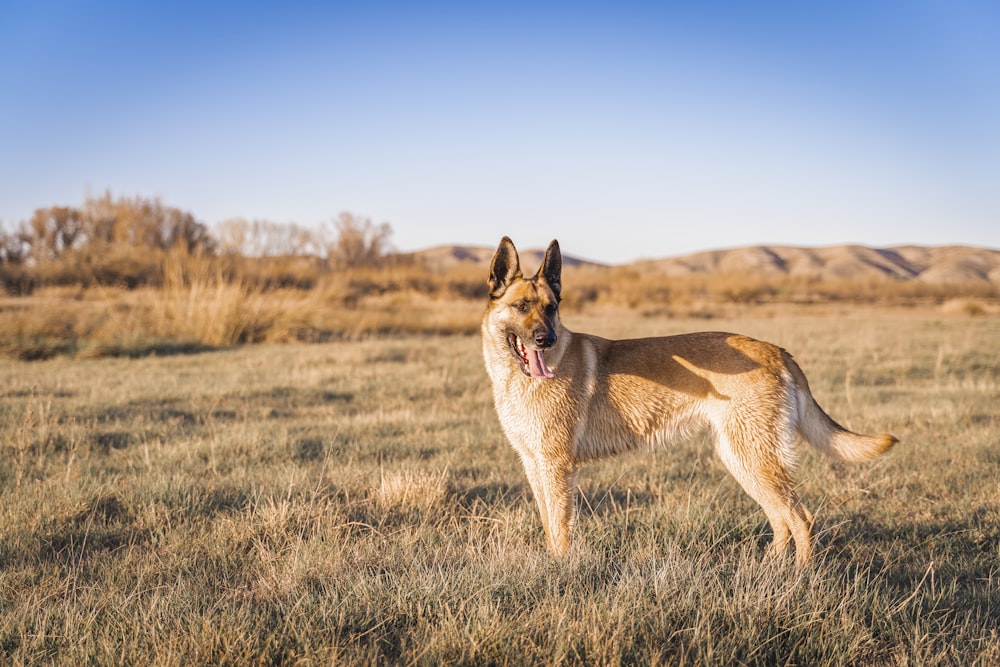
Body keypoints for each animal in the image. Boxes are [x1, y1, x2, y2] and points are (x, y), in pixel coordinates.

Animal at [480, 237, 896, 568]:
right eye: (522, 307)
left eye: (551, 307)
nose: (545, 340)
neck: (517, 377)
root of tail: (776, 350)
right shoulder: (535, 465)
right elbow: (549, 525)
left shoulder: (558, 468)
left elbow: (561, 529)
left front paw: (562, 572)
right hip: (742, 458)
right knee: (781, 519)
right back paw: (771, 571)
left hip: (754, 458)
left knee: (801, 518)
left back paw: (801, 577)